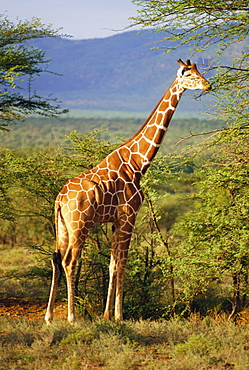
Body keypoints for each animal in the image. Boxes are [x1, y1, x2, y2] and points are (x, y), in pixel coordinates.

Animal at [44, 58, 210, 324]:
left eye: (199, 71)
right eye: (189, 74)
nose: (208, 85)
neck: (138, 163)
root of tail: (59, 199)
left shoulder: (115, 220)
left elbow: (112, 263)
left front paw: (106, 315)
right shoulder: (129, 215)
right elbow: (122, 263)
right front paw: (119, 315)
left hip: (62, 226)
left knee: (56, 259)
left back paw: (49, 316)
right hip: (80, 224)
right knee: (70, 261)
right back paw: (71, 316)